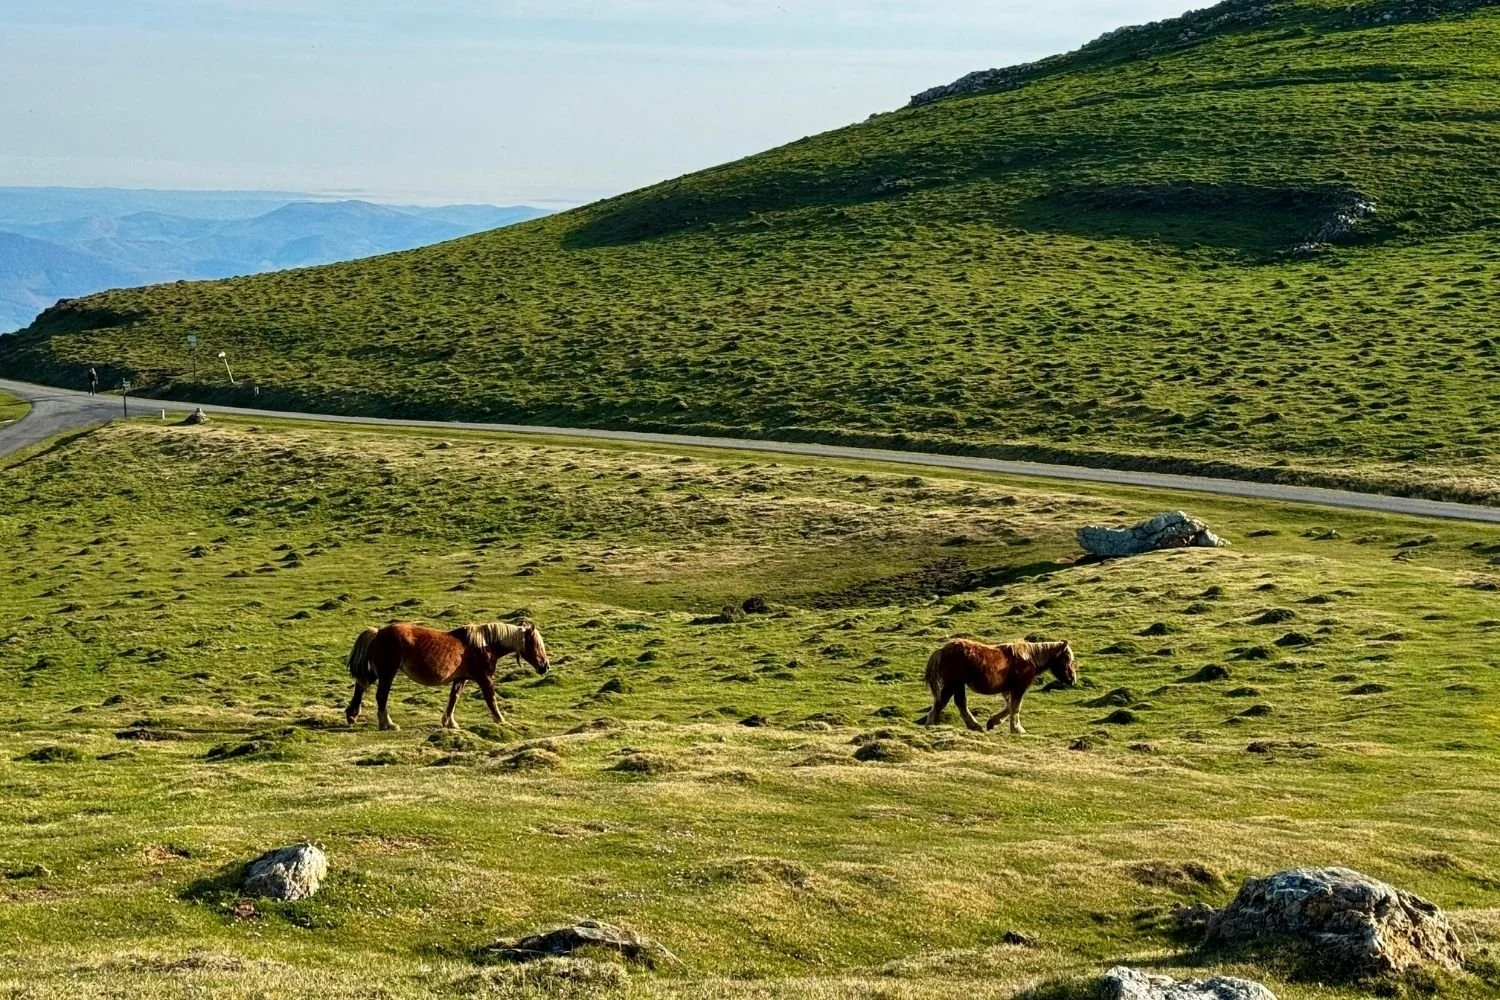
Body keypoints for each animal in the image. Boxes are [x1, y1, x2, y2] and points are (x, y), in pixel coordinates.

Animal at [345, 619, 549, 731]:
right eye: (535, 644)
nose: (545, 666)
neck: (485, 644)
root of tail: (378, 633)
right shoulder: (484, 678)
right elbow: (491, 699)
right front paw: (501, 720)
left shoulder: (460, 679)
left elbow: (453, 698)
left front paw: (449, 722)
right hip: (387, 673)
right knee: (381, 696)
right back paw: (387, 724)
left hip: (377, 672)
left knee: (360, 687)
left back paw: (352, 716)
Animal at [924, 638, 1076, 734]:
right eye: (1066, 658)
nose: (1072, 679)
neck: (1029, 658)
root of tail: (941, 650)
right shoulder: (1018, 688)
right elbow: (1015, 707)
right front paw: (1017, 729)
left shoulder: (1008, 689)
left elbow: (1009, 706)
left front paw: (993, 722)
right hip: (954, 684)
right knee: (945, 703)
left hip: (957, 685)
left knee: (955, 703)